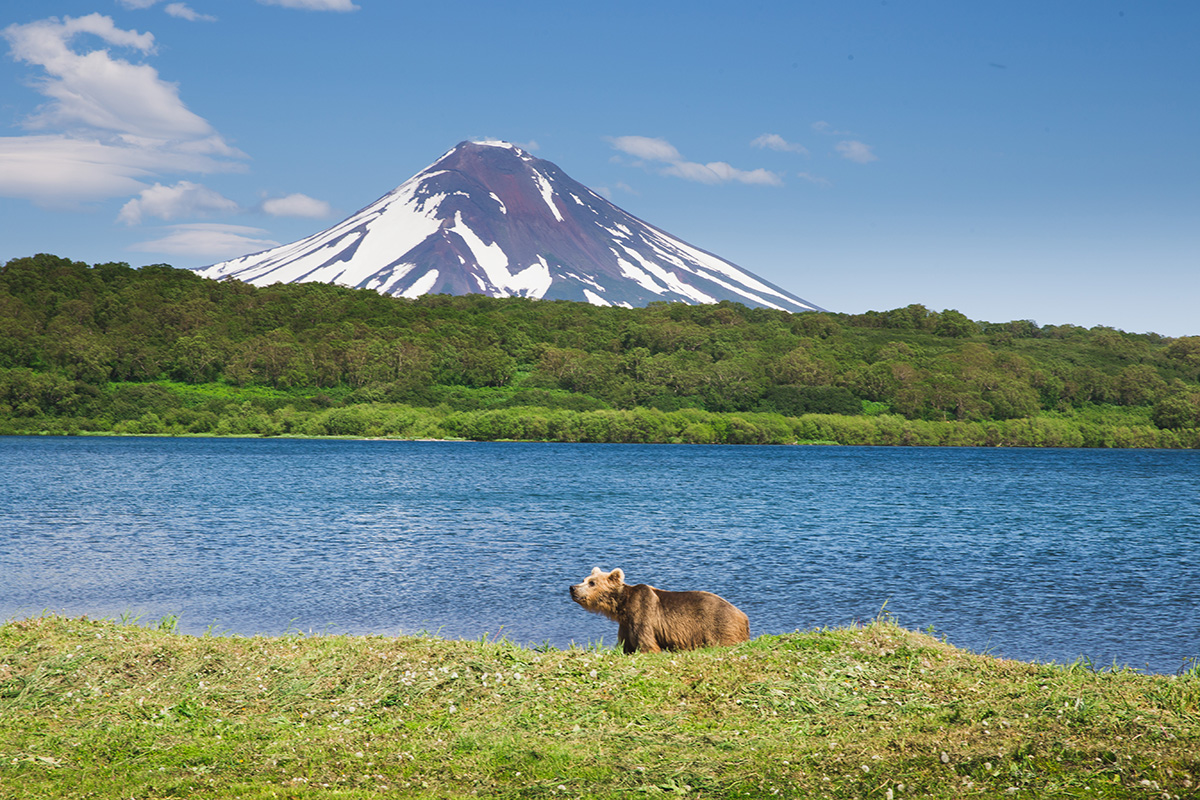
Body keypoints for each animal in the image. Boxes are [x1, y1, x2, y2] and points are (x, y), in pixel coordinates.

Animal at [564, 566, 744, 652]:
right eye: (584, 579)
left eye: (592, 583)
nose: (572, 588)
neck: (622, 607)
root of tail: (742, 615)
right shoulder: (625, 624)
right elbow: (626, 645)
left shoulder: (642, 613)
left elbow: (646, 644)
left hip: (717, 626)